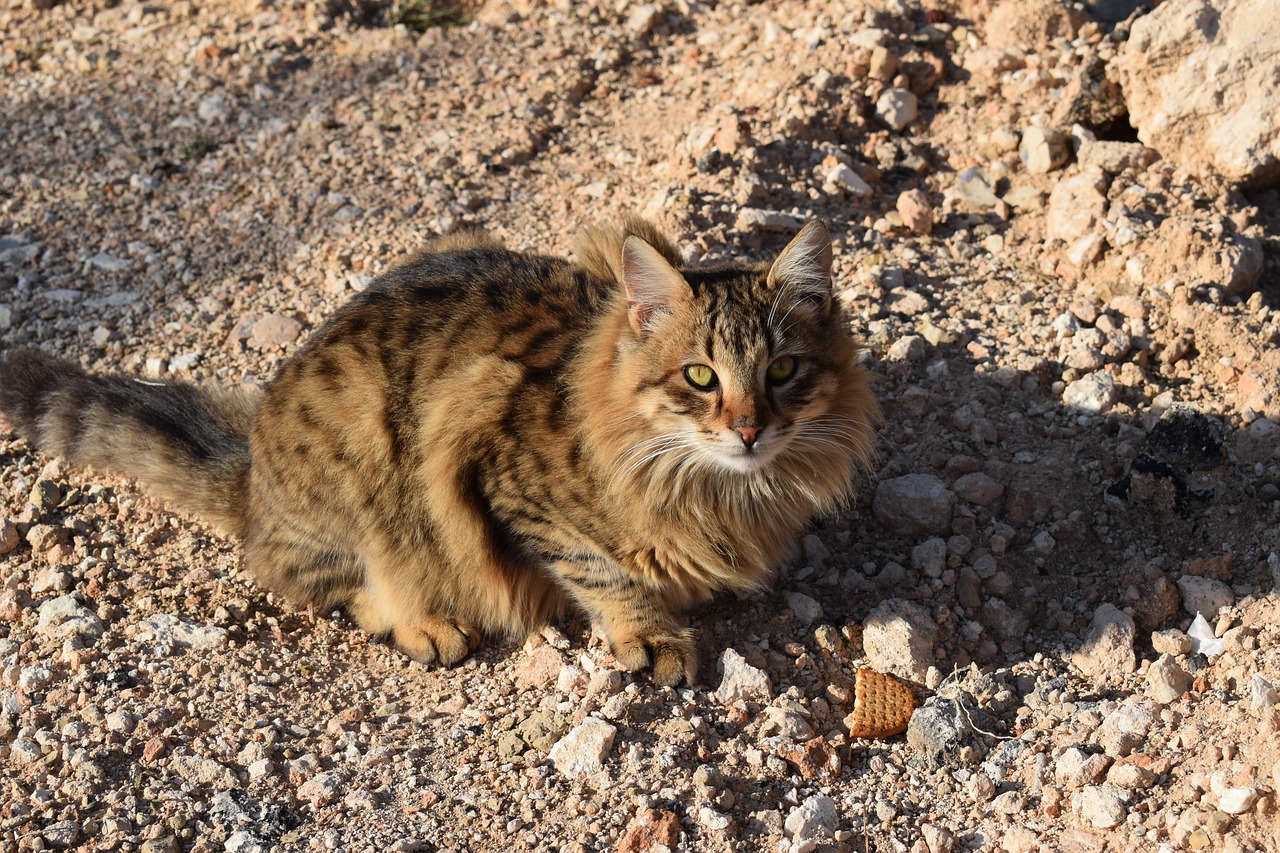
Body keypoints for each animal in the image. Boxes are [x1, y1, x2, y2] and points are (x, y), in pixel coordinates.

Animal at [0, 219, 875, 686]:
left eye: (783, 371)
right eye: (700, 377)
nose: (750, 429)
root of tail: (250, 471)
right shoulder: (502, 473)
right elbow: (604, 570)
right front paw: (651, 634)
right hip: (359, 462)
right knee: (336, 584)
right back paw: (425, 623)